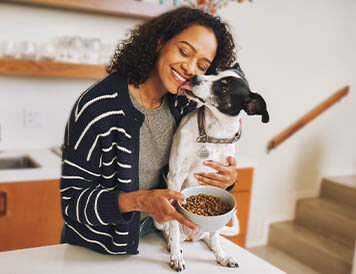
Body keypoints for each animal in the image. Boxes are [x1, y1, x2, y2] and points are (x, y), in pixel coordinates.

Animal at [154, 63, 268, 270]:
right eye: (214, 72)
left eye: (224, 87)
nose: (194, 78)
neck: (213, 135)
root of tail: (191, 235)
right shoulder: (175, 178)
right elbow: (173, 223)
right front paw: (176, 257)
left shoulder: (217, 182)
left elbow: (215, 232)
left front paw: (220, 255)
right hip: (160, 220)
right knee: (169, 230)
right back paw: (172, 245)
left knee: (210, 236)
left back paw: (221, 253)